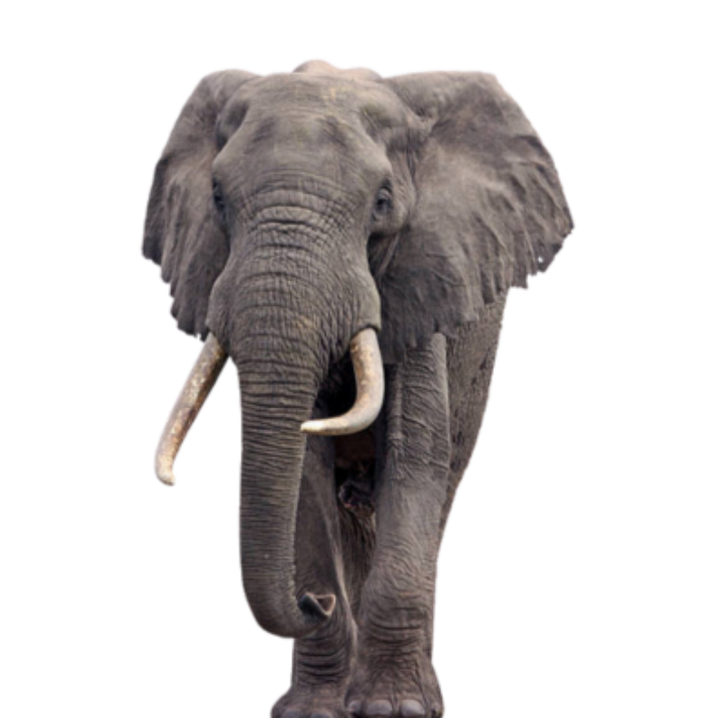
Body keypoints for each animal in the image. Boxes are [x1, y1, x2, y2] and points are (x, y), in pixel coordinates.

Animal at [140, 58, 575, 718]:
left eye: (383, 202)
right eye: (216, 198)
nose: (311, 603)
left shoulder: (422, 281)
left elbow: (414, 456)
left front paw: (397, 709)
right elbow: (305, 475)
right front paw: (313, 709)